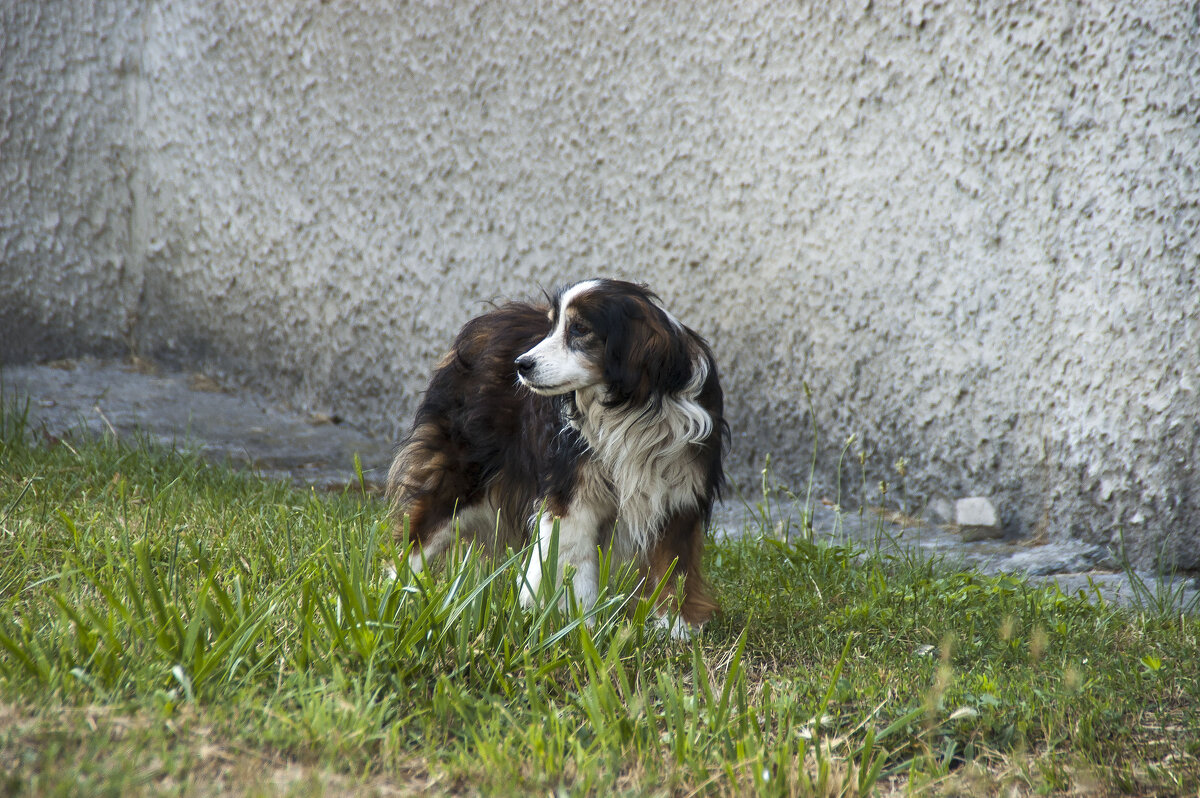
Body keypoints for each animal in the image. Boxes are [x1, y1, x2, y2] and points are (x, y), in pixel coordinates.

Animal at [388, 278, 724, 633]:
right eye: (552, 327)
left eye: (580, 329)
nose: (521, 365)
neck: (630, 405)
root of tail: (488, 322)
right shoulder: (572, 493)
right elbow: (570, 558)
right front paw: (572, 620)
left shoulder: (678, 493)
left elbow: (674, 565)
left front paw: (675, 626)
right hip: (463, 475)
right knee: (421, 533)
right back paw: (395, 593)